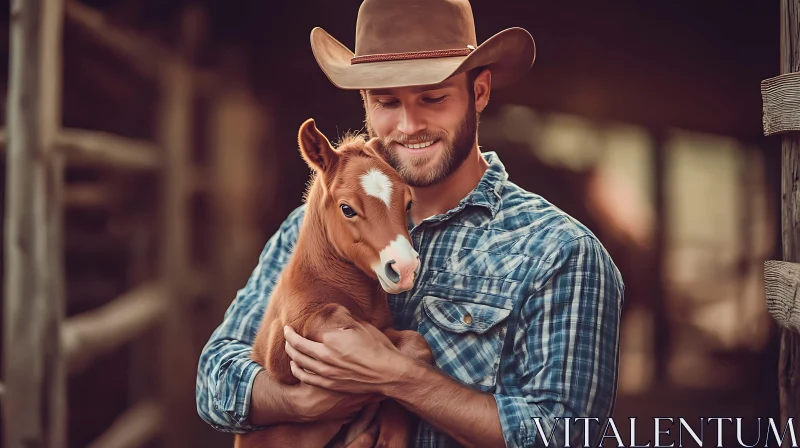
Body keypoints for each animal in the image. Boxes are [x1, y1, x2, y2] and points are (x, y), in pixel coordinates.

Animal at [234, 119, 434, 448]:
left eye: (407, 204)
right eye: (347, 208)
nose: (404, 268)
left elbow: (416, 348)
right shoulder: (283, 350)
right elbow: (336, 318)